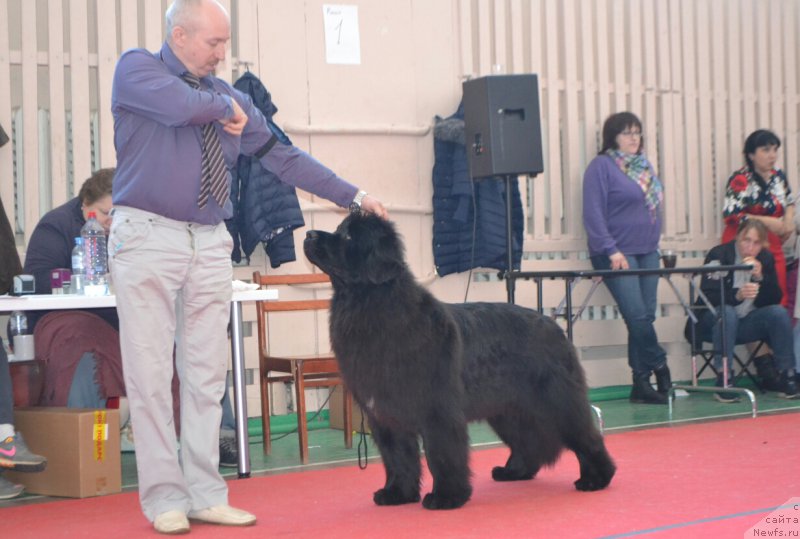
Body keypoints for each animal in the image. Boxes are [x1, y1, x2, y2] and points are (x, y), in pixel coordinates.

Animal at [304, 212, 616, 510]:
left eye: (347, 236)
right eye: (340, 228)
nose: (308, 234)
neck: (367, 304)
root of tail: (553, 325)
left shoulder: (437, 411)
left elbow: (442, 456)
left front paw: (446, 497)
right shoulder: (385, 415)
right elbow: (398, 458)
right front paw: (397, 494)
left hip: (556, 399)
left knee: (586, 435)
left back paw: (596, 478)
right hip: (508, 409)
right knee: (527, 440)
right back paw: (514, 471)